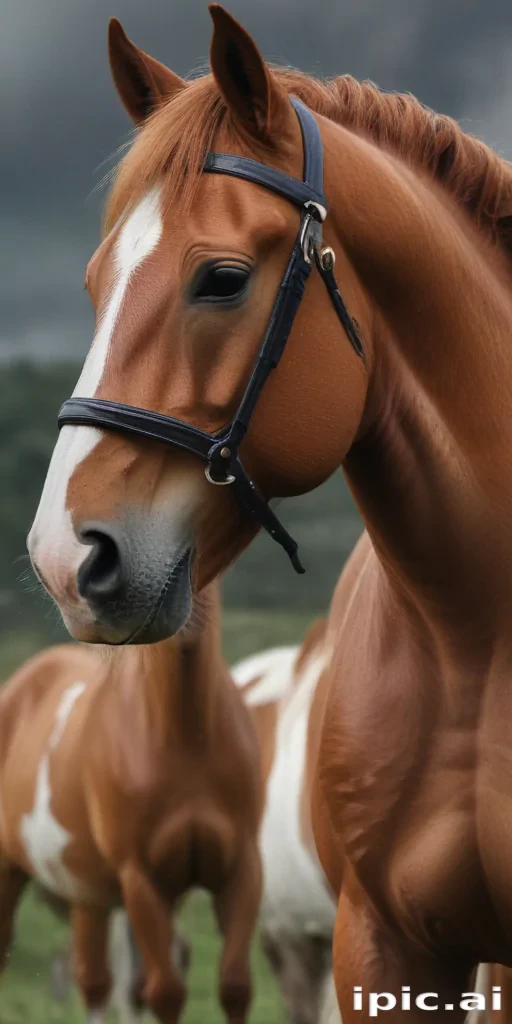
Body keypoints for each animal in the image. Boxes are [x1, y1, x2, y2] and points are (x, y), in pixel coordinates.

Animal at [0, 583, 262, 1023]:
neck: (185, 733)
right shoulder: (142, 879)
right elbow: (165, 992)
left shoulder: (238, 870)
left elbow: (234, 987)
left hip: (87, 893)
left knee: (95, 981)